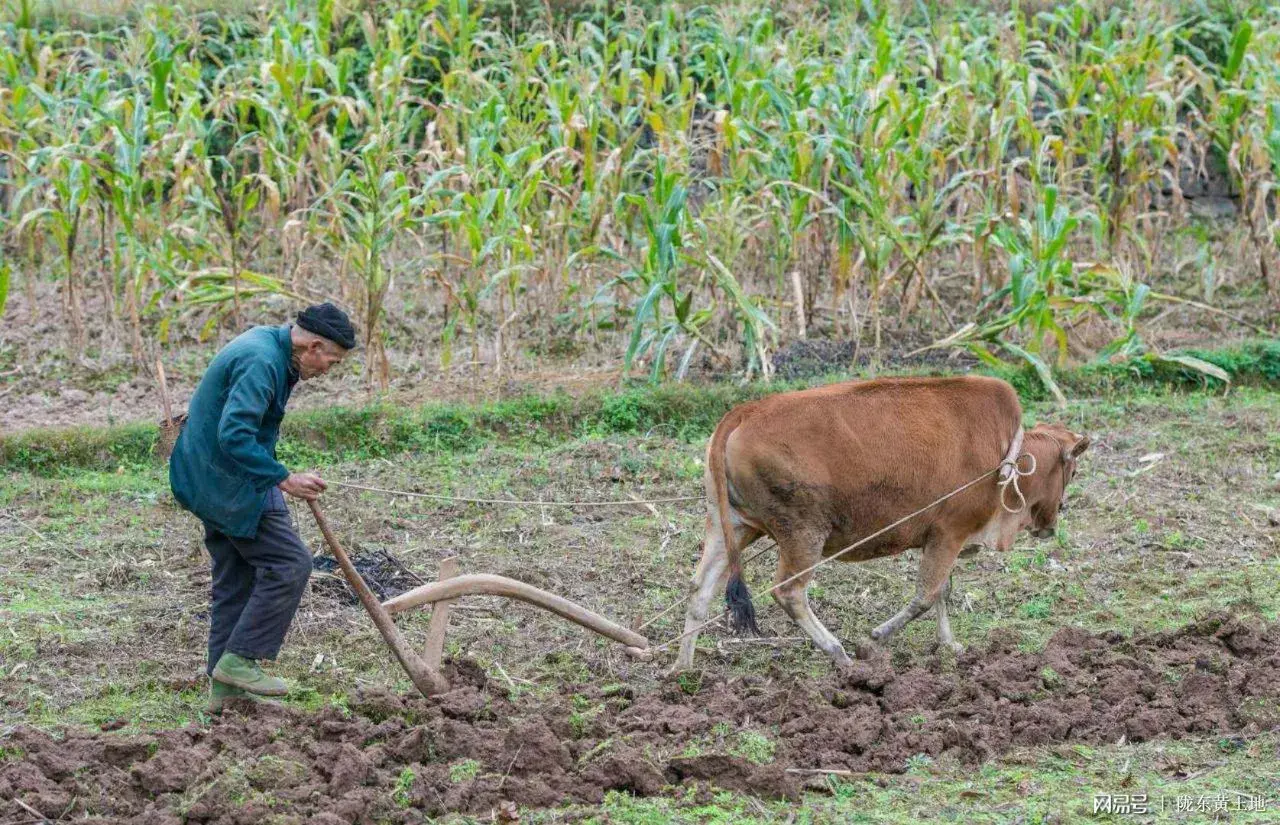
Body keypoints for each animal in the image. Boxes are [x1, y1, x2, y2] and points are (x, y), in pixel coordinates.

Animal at [675, 376, 1085, 670]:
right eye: (1072, 468)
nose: (1054, 520)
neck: (1007, 452)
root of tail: (744, 411)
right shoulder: (949, 534)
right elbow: (926, 596)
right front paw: (874, 638)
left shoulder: (942, 539)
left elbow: (941, 593)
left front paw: (949, 644)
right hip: (802, 535)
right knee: (789, 591)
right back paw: (838, 652)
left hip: (732, 526)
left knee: (700, 588)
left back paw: (683, 667)